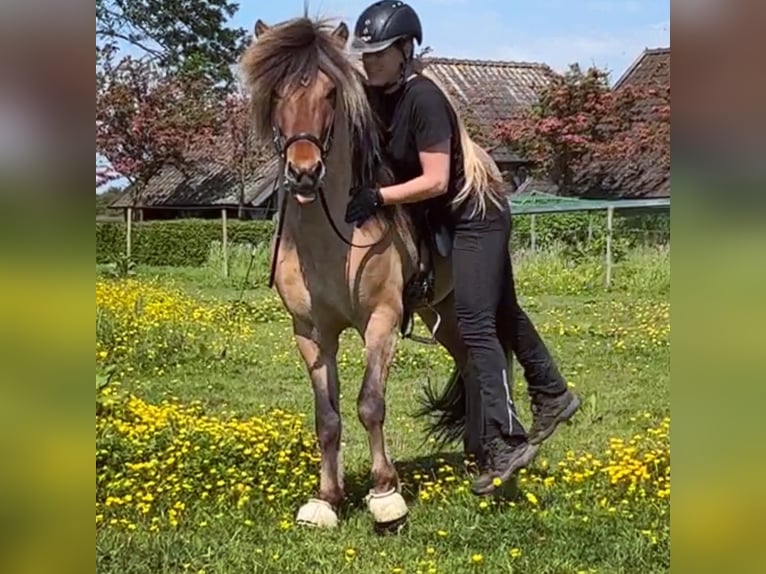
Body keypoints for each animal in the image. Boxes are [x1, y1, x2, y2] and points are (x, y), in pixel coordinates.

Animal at [240, 14, 504, 536]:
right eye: (277, 92)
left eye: (329, 94)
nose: (304, 172)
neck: (331, 240)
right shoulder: (312, 333)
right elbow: (327, 416)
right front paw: (327, 499)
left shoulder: (380, 322)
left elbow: (369, 404)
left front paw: (385, 497)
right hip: (442, 311)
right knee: (468, 362)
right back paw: (472, 454)